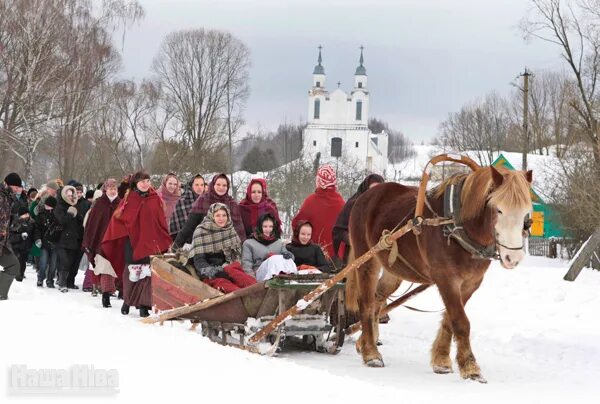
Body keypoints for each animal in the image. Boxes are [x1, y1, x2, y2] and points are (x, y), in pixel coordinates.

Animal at [344, 166, 532, 384]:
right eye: (498, 209)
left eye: (525, 214)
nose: (514, 257)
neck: (457, 225)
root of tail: (365, 196)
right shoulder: (446, 279)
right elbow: (460, 321)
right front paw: (470, 367)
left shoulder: (471, 283)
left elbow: (450, 319)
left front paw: (441, 360)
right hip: (366, 259)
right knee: (366, 302)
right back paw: (371, 353)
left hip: (393, 268)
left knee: (378, 299)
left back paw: (365, 341)